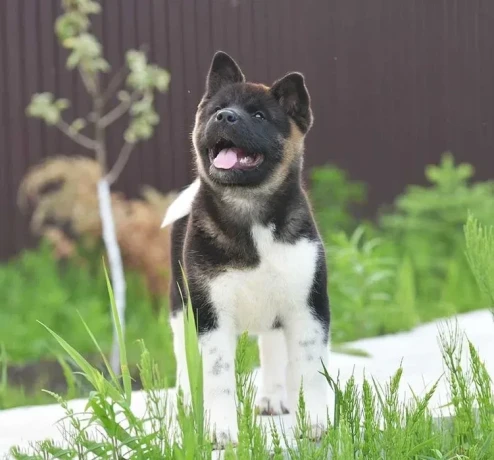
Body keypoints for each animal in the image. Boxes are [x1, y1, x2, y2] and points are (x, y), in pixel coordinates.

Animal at [162, 52, 332, 448]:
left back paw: (272, 398)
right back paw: (185, 406)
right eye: (217, 110)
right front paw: (220, 430)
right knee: (182, 359)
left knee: (272, 349)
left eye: (258, 116)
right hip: (180, 309)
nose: (225, 117)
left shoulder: (307, 307)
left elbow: (309, 371)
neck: (250, 213)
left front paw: (315, 423)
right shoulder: (211, 316)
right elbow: (218, 378)